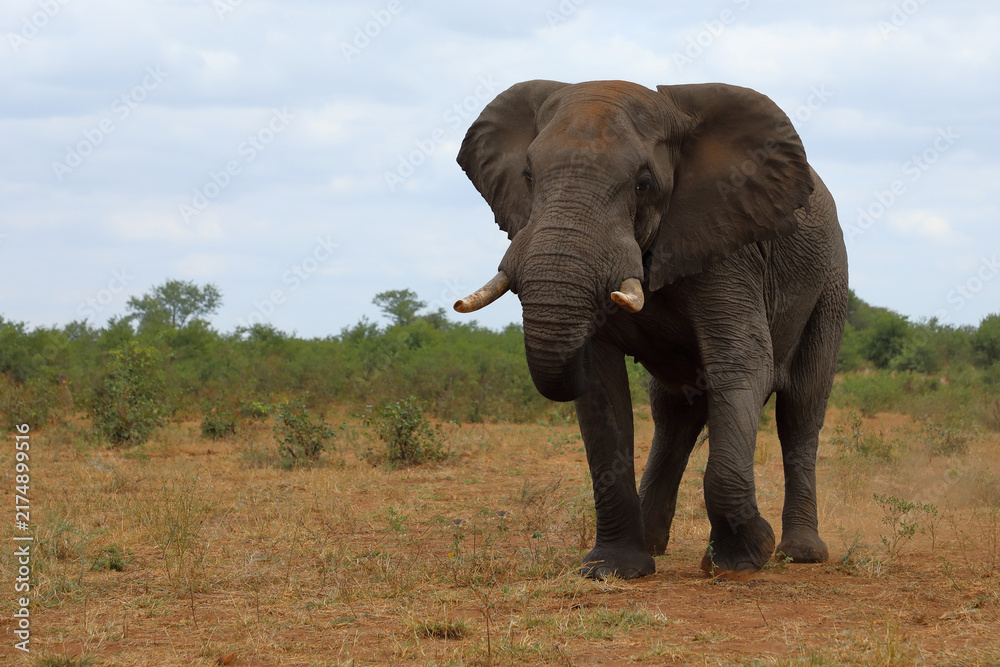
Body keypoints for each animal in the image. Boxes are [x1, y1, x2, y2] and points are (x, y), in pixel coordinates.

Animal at [453, 79, 847, 579]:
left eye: (644, 184)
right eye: (527, 175)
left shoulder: (730, 249)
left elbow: (741, 363)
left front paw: (743, 559)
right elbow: (602, 390)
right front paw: (612, 569)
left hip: (830, 283)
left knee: (800, 407)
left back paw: (800, 553)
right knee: (675, 411)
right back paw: (656, 544)